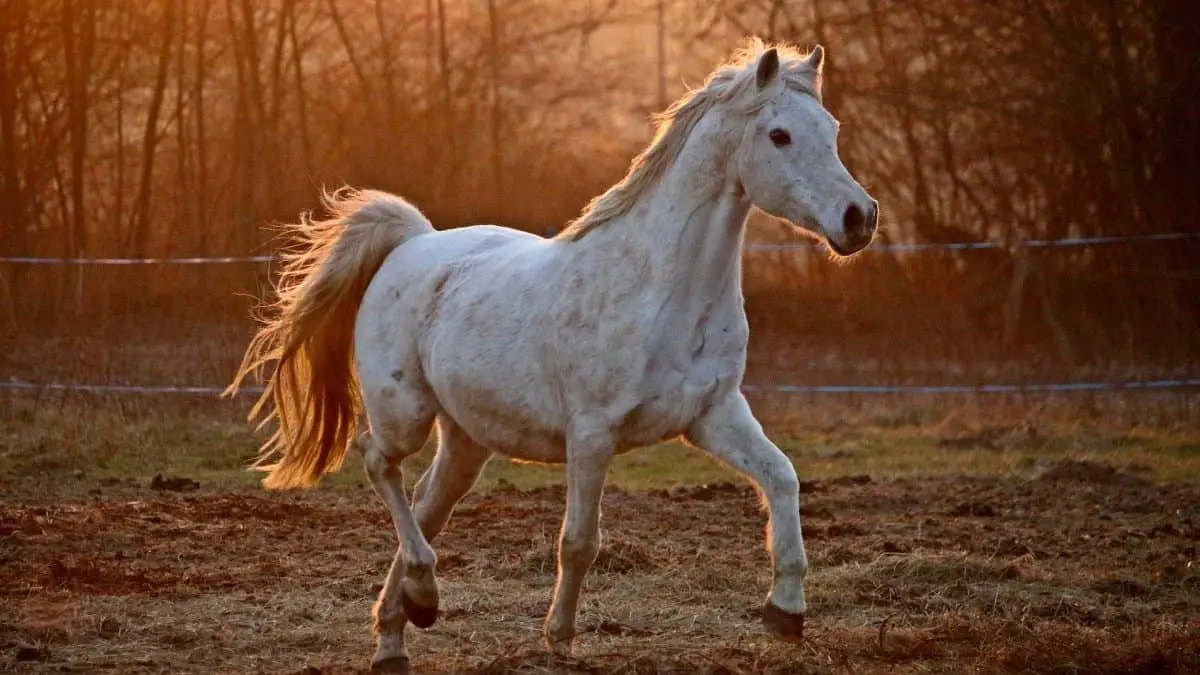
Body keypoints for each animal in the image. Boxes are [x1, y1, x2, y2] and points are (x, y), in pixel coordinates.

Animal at [229, 40, 878, 667]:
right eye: (779, 135)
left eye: (831, 128)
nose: (860, 219)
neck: (658, 289)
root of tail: (412, 243)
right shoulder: (592, 433)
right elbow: (579, 541)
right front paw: (559, 638)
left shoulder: (712, 414)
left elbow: (782, 478)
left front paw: (786, 613)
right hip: (404, 412)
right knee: (377, 463)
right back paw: (422, 592)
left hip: (466, 440)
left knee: (425, 501)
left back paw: (399, 630)